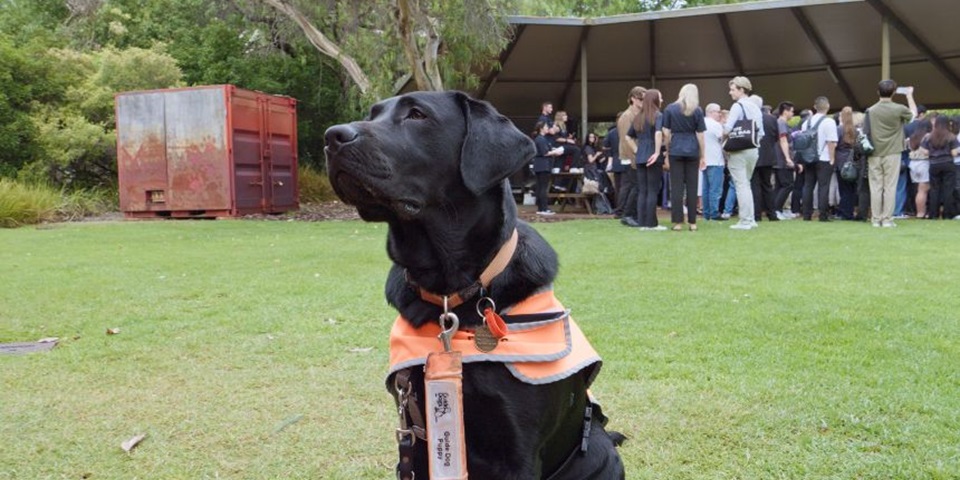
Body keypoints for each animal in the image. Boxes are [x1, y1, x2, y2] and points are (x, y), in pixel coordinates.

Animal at [324, 91, 624, 480]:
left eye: (417, 114)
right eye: (372, 114)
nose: (332, 137)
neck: (449, 292)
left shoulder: (518, 452)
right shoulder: (415, 434)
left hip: (601, 450)